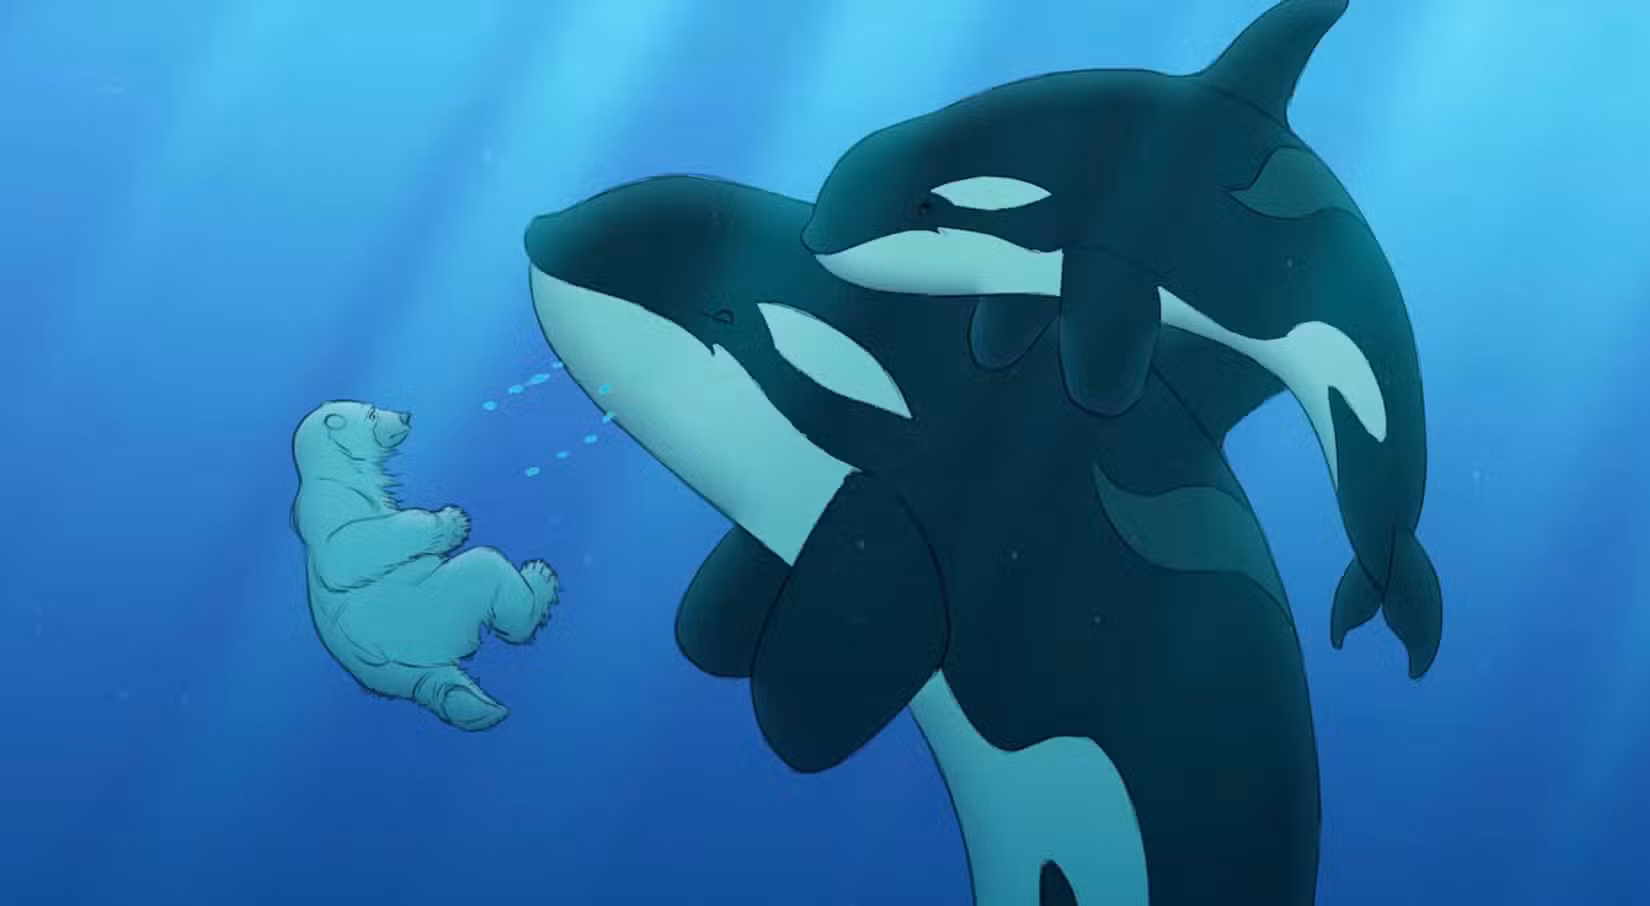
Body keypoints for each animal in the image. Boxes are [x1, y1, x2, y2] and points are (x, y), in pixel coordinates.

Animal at [290, 400, 559, 731]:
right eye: (372, 414)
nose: (406, 415)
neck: (338, 468)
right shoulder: (331, 502)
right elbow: (346, 552)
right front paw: (454, 520)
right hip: (424, 614)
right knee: (486, 566)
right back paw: (539, 579)